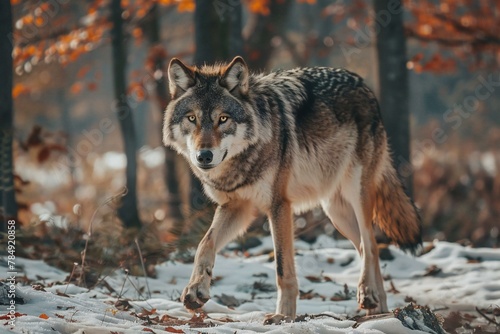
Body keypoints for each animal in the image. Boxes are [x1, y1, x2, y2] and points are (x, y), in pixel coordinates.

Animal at [162, 56, 420, 322]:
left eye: (223, 119)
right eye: (192, 118)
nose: (204, 156)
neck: (243, 160)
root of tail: (363, 84)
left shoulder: (279, 206)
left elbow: (282, 268)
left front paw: (283, 316)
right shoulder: (237, 207)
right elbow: (204, 244)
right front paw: (195, 291)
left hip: (356, 195)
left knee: (369, 244)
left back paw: (368, 294)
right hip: (336, 213)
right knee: (370, 248)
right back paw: (379, 309)